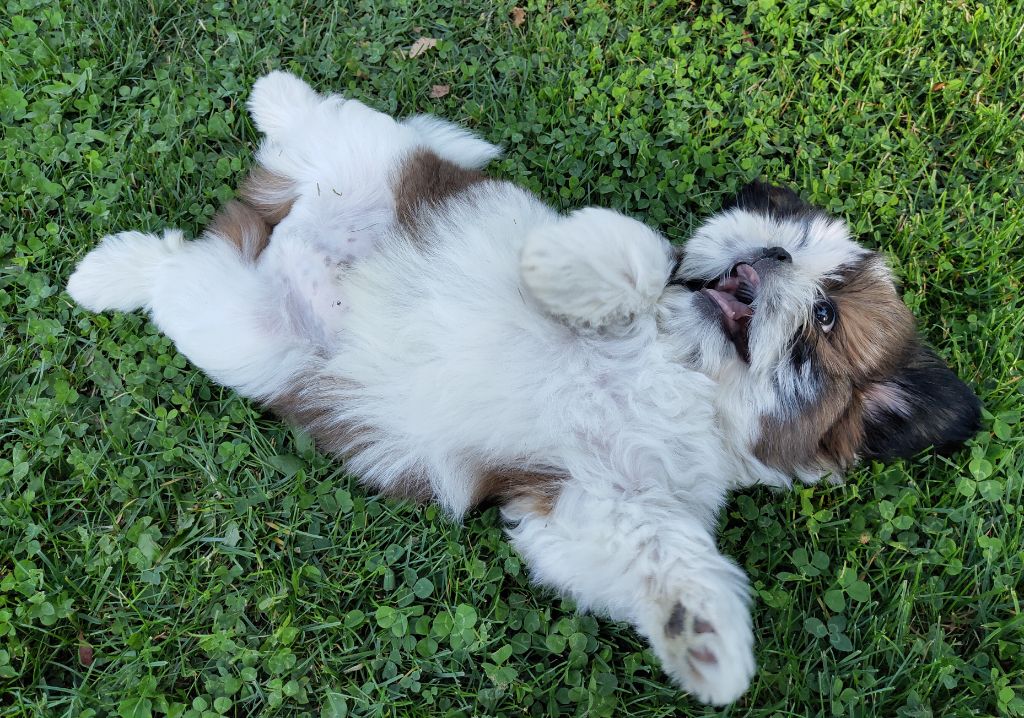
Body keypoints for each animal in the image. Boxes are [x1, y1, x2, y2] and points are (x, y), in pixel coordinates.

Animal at [68, 74, 978, 704]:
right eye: (772, 230)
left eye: (825, 317)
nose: (774, 255)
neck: (681, 369)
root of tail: (281, 222)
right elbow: (635, 256)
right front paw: (563, 266)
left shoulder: (591, 497)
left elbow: (649, 549)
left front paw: (704, 635)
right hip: (370, 164)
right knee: (329, 128)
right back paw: (266, 110)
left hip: (246, 333)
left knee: (181, 270)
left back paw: (117, 269)